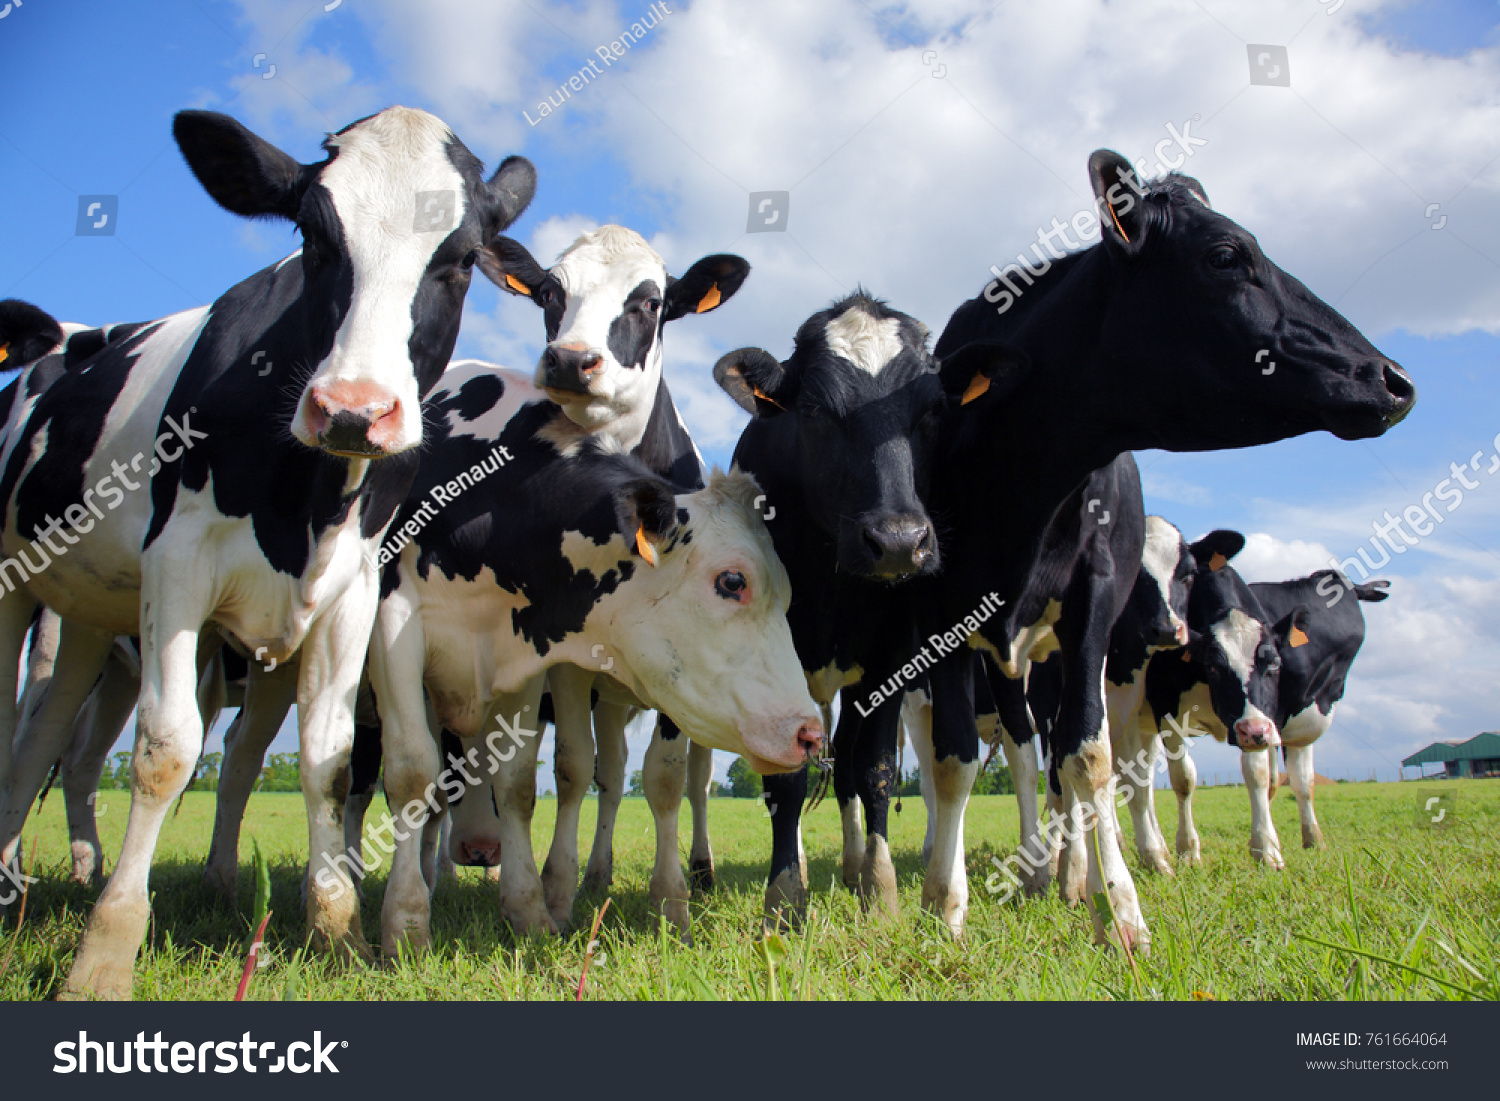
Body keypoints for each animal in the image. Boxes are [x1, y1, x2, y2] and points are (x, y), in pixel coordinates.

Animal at [0, 106, 535, 999]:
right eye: (314, 237)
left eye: (460, 259)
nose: (353, 408)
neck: (307, 502)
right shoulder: (177, 565)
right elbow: (166, 750)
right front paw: (104, 953)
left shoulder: (354, 592)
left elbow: (328, 760)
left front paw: (336, 931)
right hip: (14, 585)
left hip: (86, 616)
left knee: (45, 738)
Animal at [359, 361, 822, 951]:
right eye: (733, 581)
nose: (810, 734)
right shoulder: (393, 624)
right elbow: (414, 774)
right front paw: (407, 922)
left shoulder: (525, 659)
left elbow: (523, 784)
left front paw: (537, 909)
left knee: (671, 782)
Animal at [712, 291, 1010, 927]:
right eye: (814, 410)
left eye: (932, 411)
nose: (898, 541)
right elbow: (786, 780)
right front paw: (785, 897)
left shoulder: (890, 659)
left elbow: (872, 769)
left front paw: (879, 886)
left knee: (846, 762)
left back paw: (851, 866)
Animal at [917, 148, 1414, 947]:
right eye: (1226, 255)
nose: (1393, 379)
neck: (1020, 470)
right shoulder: (943, 615)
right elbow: (956, 762)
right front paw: (945, 900)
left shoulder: (1093, 606)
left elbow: (1090, 758)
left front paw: (1119, 907)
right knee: (1024, 757)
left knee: (1067, 764)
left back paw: (1072, 875)